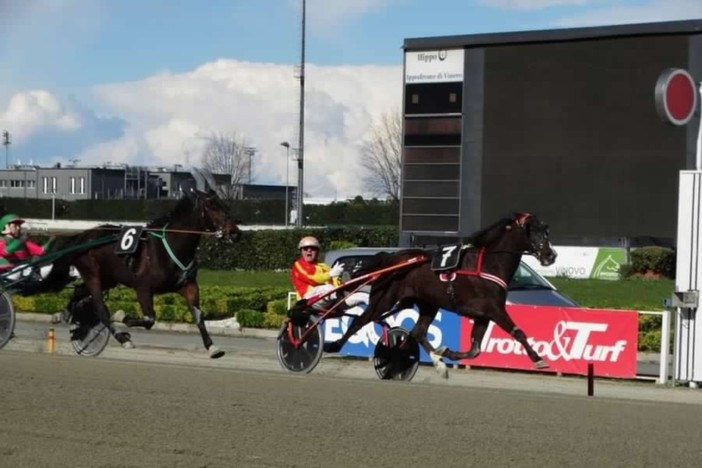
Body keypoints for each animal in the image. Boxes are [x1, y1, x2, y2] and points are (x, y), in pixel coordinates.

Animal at [45, 182, 242, 358]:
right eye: (211, 206)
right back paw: (122, 338)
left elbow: (198, 315)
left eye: (225, 206)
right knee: (100, 308)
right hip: (92, 274)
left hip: (108, 278)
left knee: (78, 292)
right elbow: (149, 319)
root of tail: (81, 236)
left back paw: (63, 314)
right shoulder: (143, 287)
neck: (170, 246)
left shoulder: (188, 285)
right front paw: (121, 315)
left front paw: (212, 347)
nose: (235, 233)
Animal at [324, 212, 560, 376]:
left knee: (418, 333)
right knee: (359, 321)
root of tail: (391, 258)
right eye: (531, 231)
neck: (488, 265)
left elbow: (475, 350)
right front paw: (538, 358)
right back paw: (332, 345)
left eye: (546, 231)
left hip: (428, 304)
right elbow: (518, 332)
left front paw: (447, 352)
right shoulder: (495, 310)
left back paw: (439, 363)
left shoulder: (482, 315)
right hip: (383, 300)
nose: (551, 255)